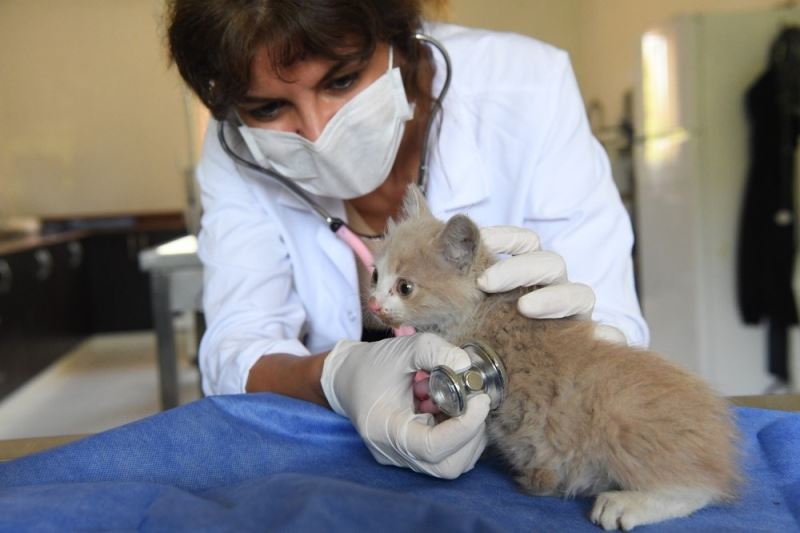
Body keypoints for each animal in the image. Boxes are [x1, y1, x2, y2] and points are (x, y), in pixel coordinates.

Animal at [368, 185, 736, 528]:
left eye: (405, 287)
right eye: (374, 275)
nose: (372, 303)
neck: (477, 312)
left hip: (620, 412)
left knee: (699, 487)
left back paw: (626, 503)